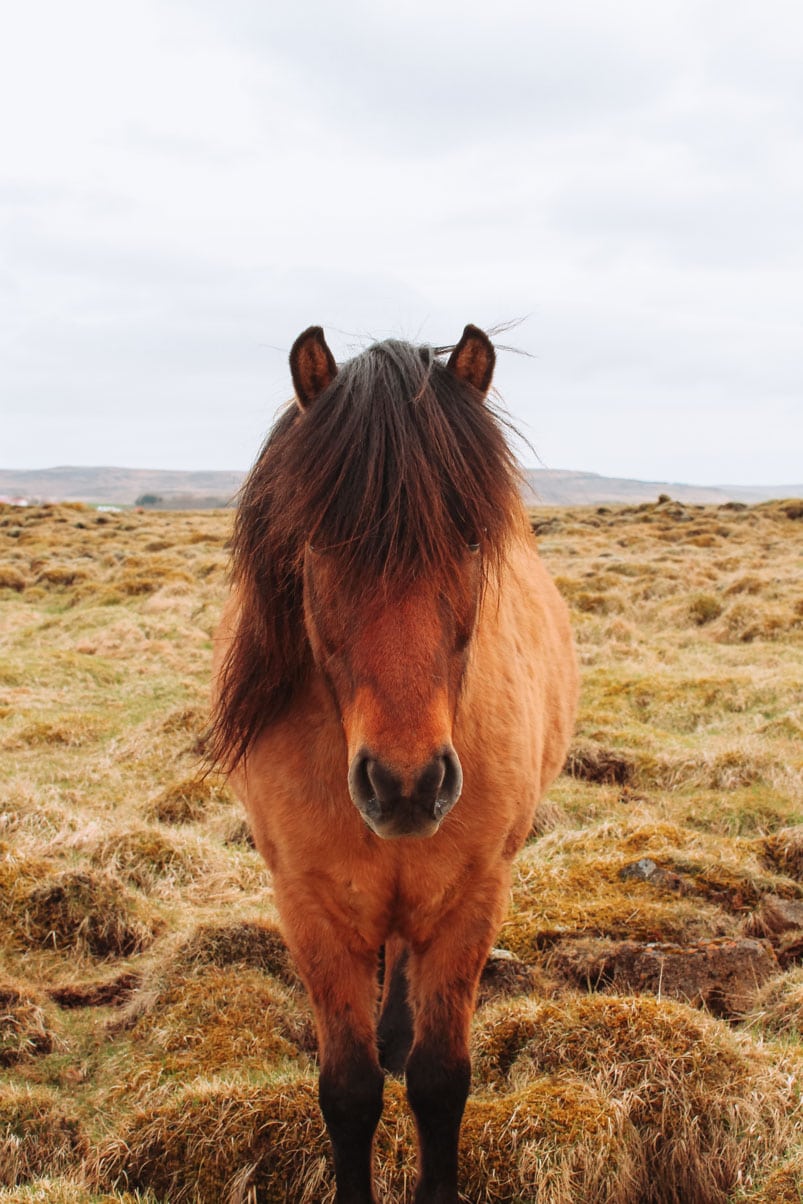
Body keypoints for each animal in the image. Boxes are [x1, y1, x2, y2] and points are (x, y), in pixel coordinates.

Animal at [210, 327, 580, 1204]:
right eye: (317, 542)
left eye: (472, 540)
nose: (405, 784)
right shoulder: (309, 907)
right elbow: (347, 1091)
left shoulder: (472, 899)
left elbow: (440, 1082)